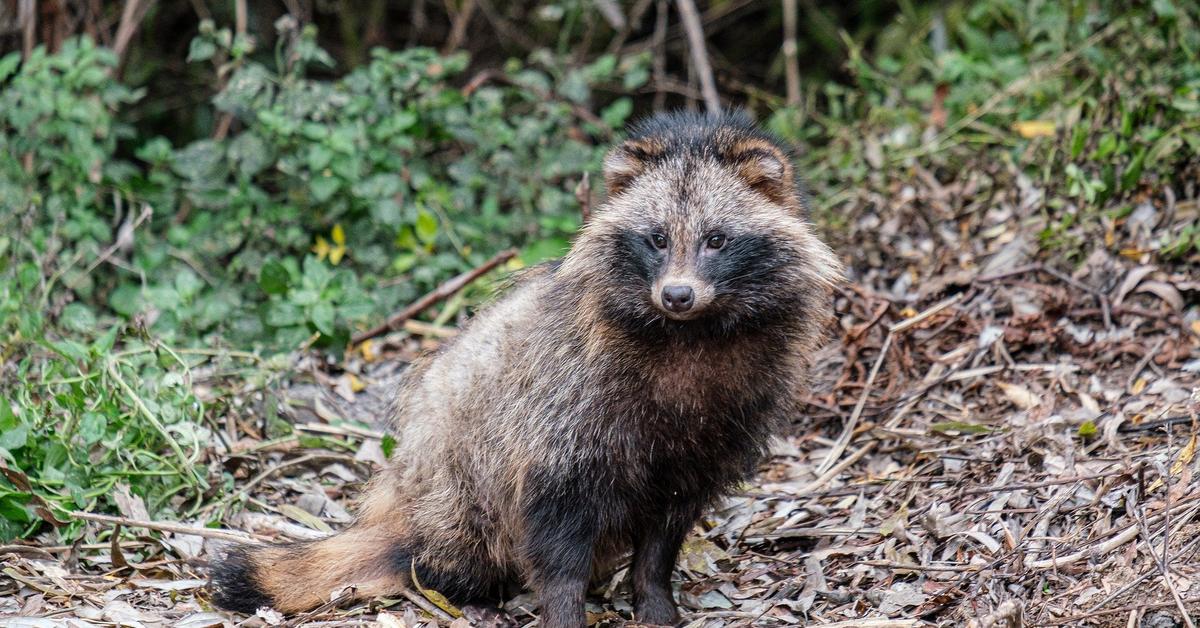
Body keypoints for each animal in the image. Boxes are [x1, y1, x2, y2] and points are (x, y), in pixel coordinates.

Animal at [208, 110, 844, 624]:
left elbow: (666, 530)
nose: (678, 295)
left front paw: (654, 597)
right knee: (461, 541)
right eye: (657, 239)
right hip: (455, 483)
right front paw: (564, 610)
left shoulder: (718, 425)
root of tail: (397, 508)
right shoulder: (562, 418)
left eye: (716, 240)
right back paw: (458, 587)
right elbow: (555, 536)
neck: (691, 335)